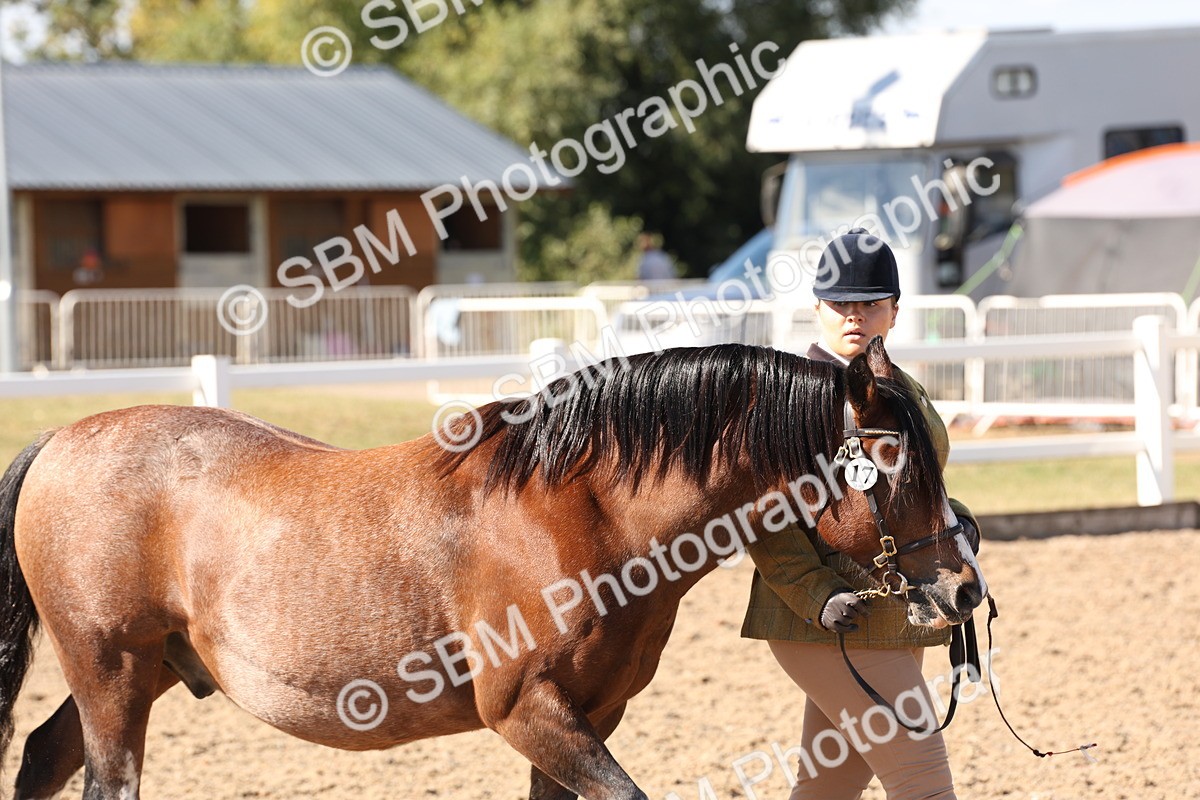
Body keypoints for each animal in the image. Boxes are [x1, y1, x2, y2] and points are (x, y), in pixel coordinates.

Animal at [0, 337, 985, 800]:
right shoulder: (527, 712)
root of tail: (61, 439)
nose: (963, 587)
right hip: (111, 672)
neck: (581, 512)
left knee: (43, 755)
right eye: (896, 458)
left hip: (143, 670)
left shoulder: (585, 715)